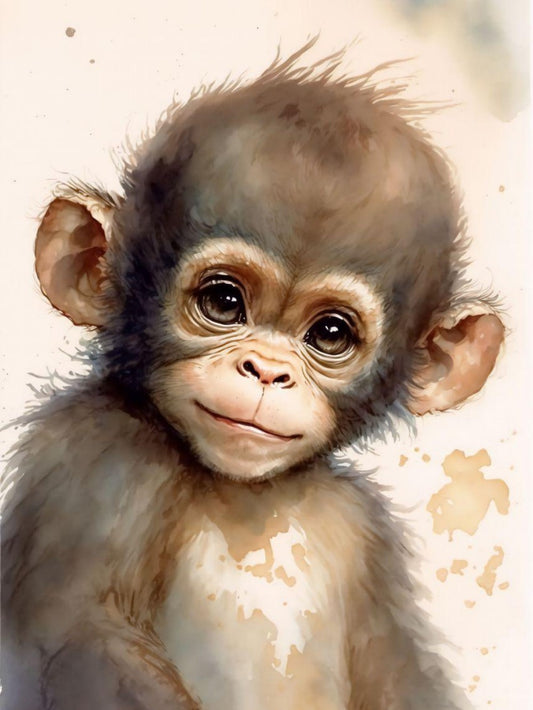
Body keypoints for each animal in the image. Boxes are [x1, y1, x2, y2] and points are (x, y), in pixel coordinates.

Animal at [1, 44, 505, 710]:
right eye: (223, 301)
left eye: (330, 334)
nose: (265, 369)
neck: (249, 493)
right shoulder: (95, 460)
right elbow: (80, 634)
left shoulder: (369, 537)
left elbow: (400, 674)